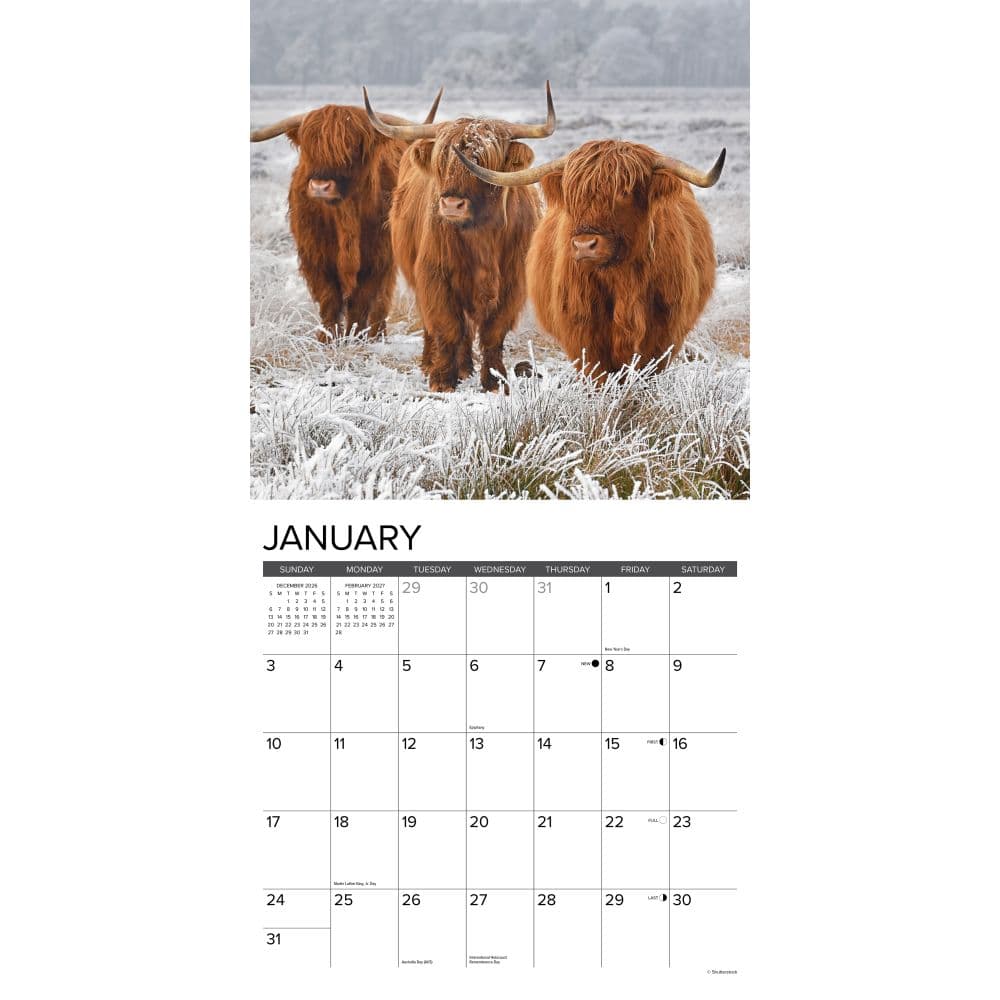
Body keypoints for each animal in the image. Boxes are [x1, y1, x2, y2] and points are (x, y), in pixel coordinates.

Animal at [250, 91, 442, 339]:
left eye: (351, 146)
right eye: (309, 148)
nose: (320, 186)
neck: (345, 216)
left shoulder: (377, 258)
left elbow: (361, 302)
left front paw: (356, 336)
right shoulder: (316, 257)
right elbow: (329, 300)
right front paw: (327, 338)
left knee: (381, 300)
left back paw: (378, 333)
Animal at [363, 84, 557, 392]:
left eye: (483, 162)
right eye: (442, 161)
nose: (452, 204)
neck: (482, 237)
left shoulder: (513, 284)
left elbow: (492, 333)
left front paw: (495, 380)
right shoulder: (435, 276)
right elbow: (447, 326)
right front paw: (442, 379)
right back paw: (434, 364)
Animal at [453, 139, 726, 377]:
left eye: (624, 192)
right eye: (573, 194)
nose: (585, 245)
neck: (622, 280)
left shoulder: (663, 335)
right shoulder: (583, 334)